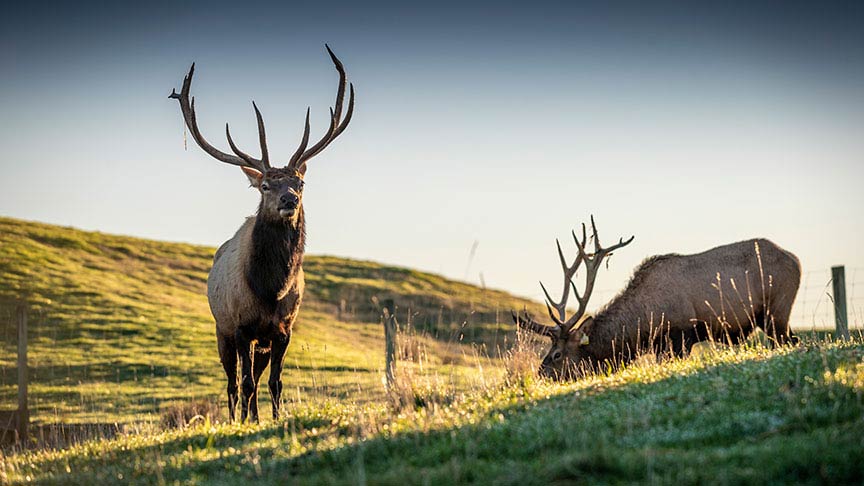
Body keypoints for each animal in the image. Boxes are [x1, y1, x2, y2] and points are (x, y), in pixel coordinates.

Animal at [170, 44, 352, 422]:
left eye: (300, 182)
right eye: (266, 185)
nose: (289, 199)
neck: (269, 288)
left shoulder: (283, 330)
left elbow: (275, 383)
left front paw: (276, 419)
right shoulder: (241, 326)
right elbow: (247, 383)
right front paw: (246, 423)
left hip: (263, 342)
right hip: (221, 330)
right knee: (233, 383)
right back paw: (237, 416)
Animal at [512, 218, 804, 382]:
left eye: (557, 354)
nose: (539, 375)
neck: (642, 325)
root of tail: (796, 259)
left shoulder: (680, 336)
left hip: (777, 310)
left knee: (790, 341)